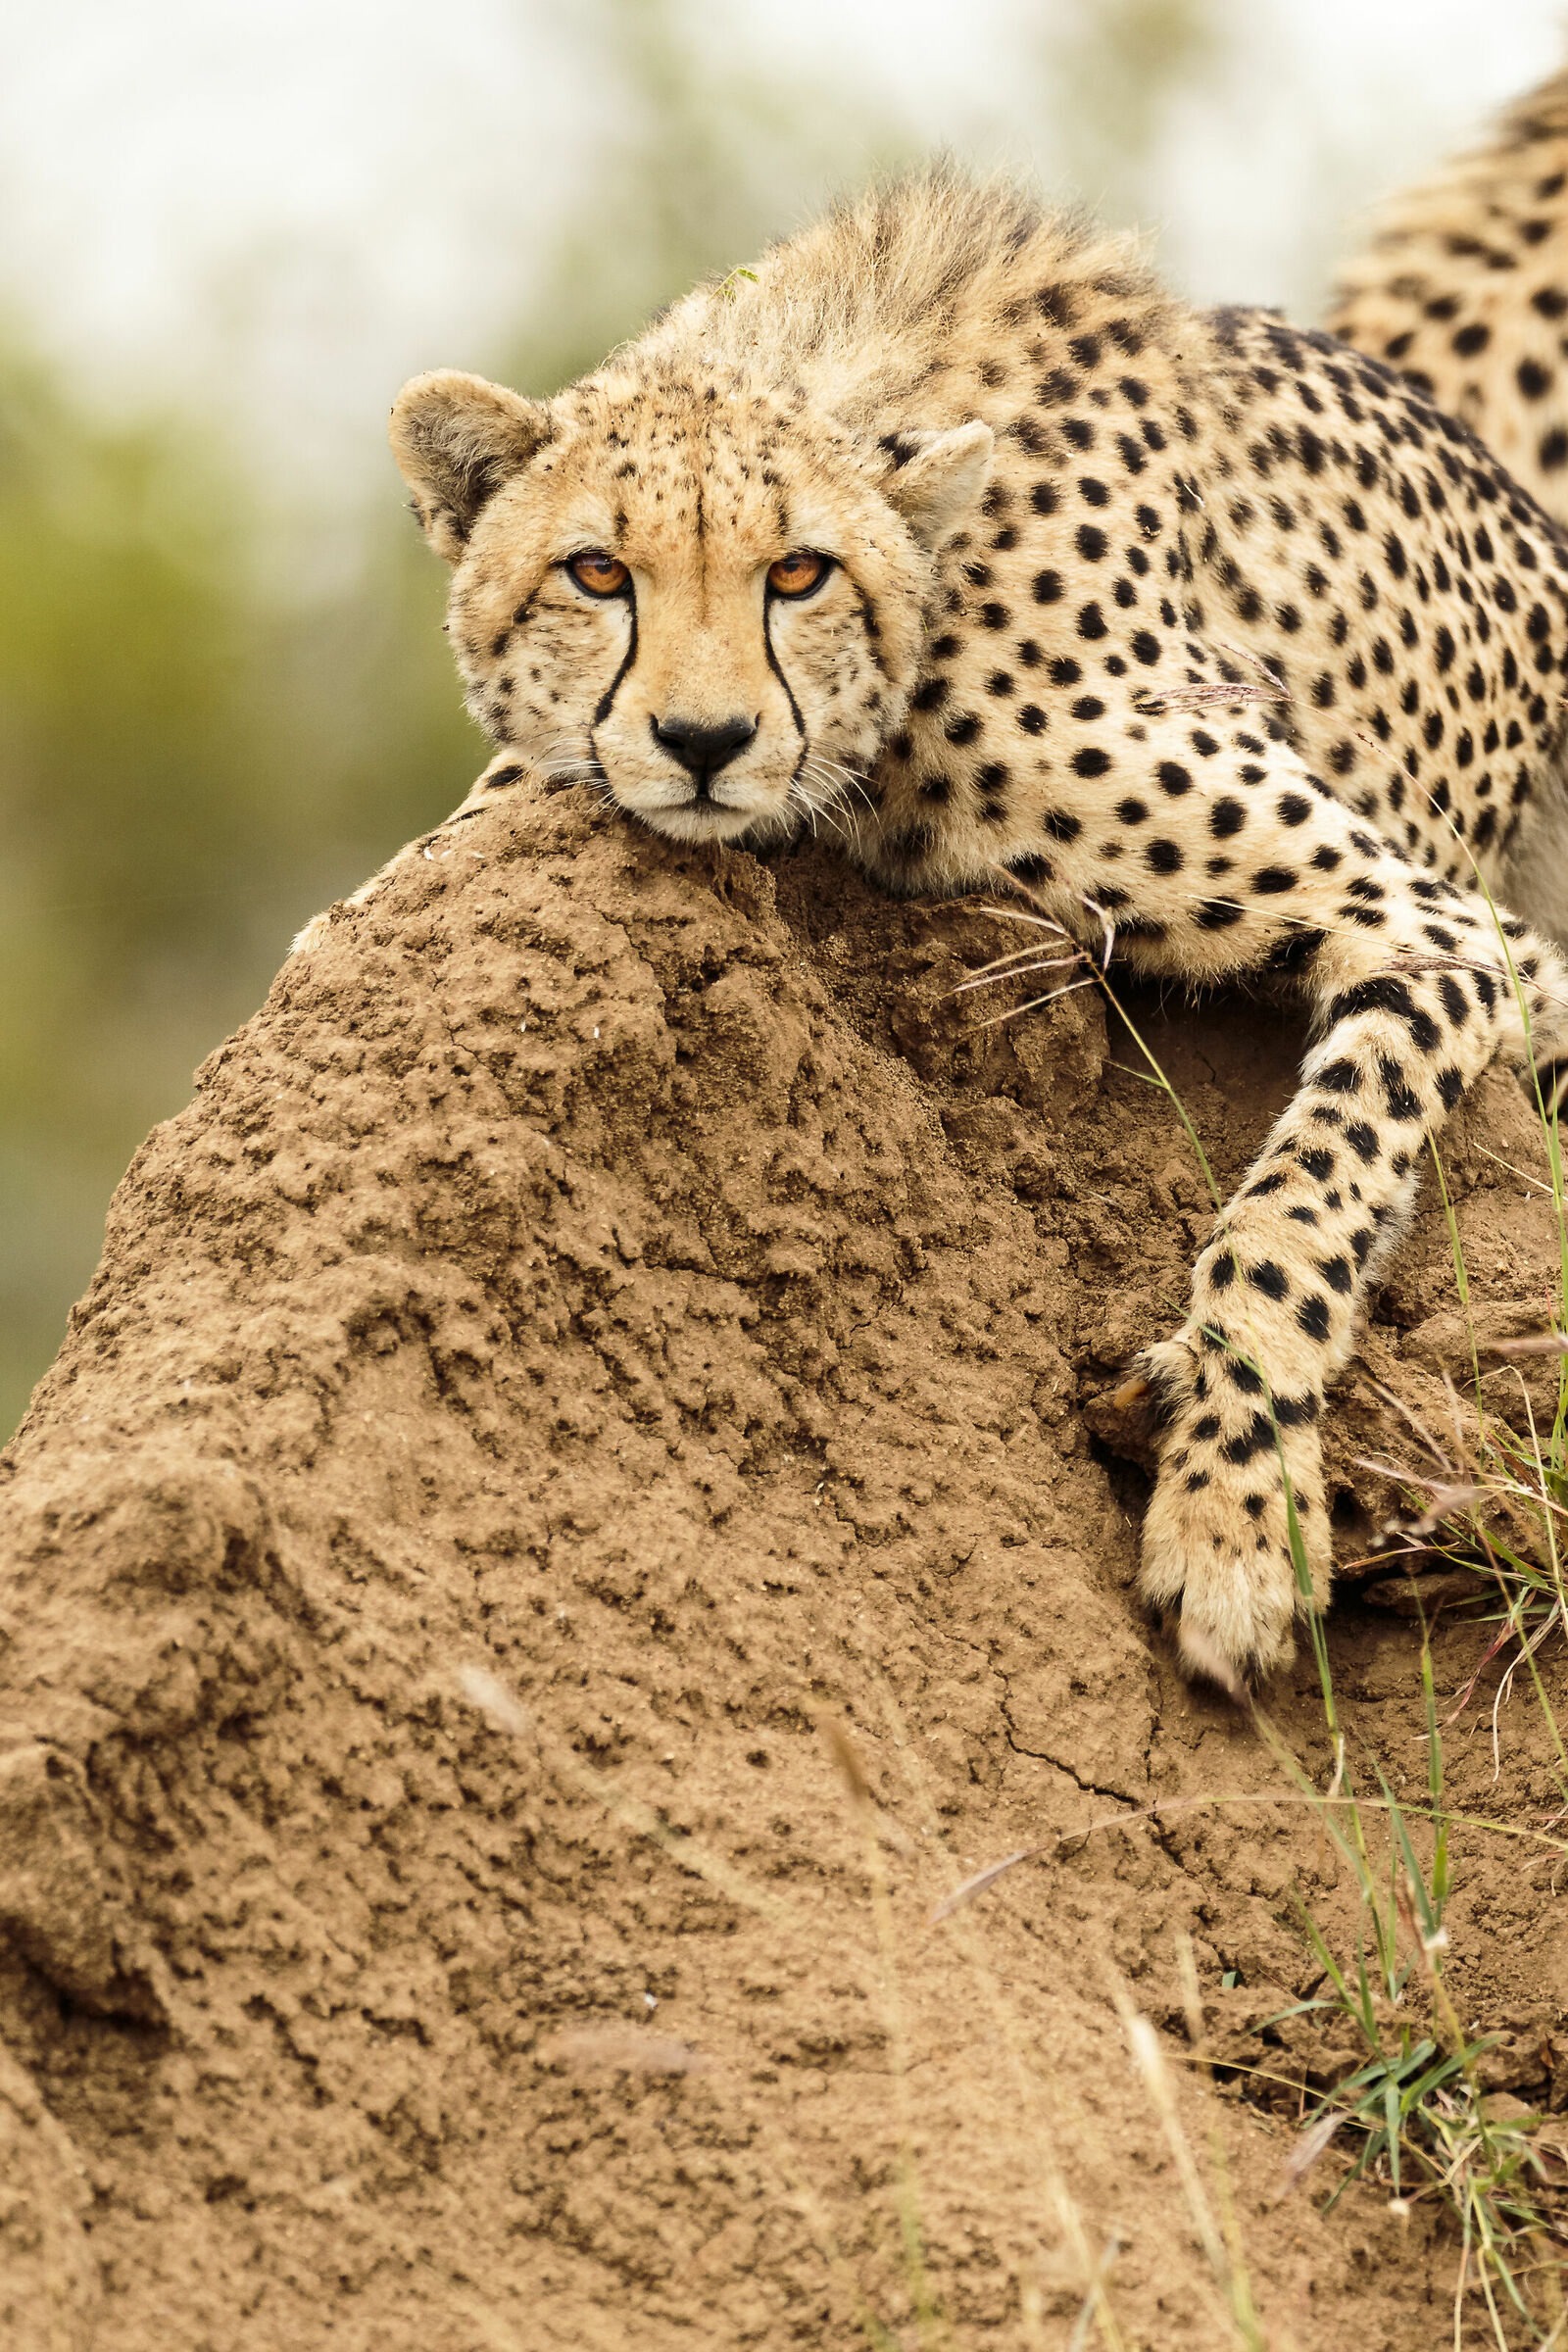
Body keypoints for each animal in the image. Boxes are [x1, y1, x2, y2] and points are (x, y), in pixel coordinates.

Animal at [311, 162, 1568, 1690]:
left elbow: (1297, 1207)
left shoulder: (1445, 931)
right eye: (596, 574)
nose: (704, 743)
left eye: (798, 574)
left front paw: (1233, 1518)